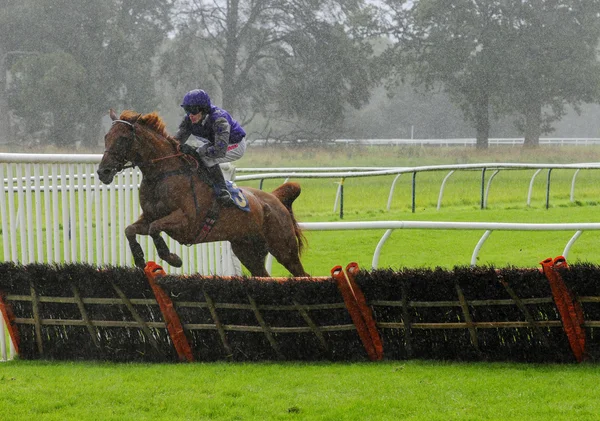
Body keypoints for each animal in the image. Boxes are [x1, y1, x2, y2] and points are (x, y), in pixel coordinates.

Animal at [97, 110, 310, 278]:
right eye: (106, 137)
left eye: (123, 138)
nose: (103, 172)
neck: (163, 174)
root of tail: (275, 199)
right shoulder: (149, 216)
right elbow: (130, 230)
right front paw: (140, 259)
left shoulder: (187, 222)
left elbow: (154, 228)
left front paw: (173, 259)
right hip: (247, 250)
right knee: (263, 274)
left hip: (283, 248)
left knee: (302, 274)